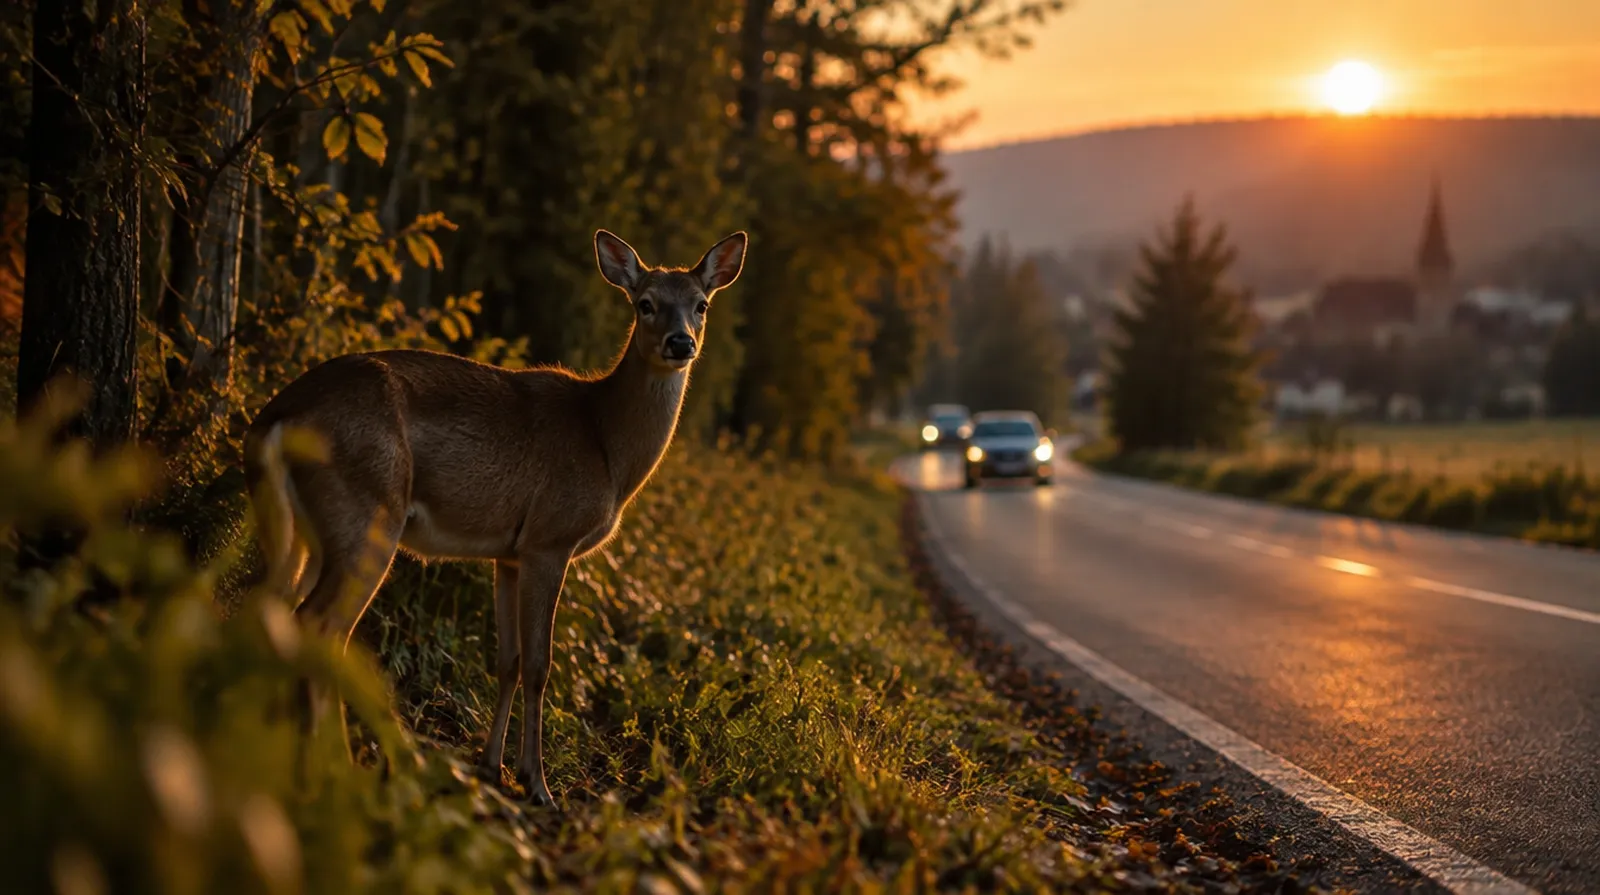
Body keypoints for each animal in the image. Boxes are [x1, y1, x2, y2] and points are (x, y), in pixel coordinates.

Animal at [242, 229, 747, 805]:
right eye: (645, 303)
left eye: (701, 305)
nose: (680, 343)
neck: (605, 445)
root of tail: (276, 419)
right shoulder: (549, 539)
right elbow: (539, 665)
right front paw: (538, 783)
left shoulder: (508, 554)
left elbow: (506, 662)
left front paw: (491, 766)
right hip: (367, 515)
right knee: (321, 626)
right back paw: (329, 772)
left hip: (300, 532)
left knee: (274, 611)